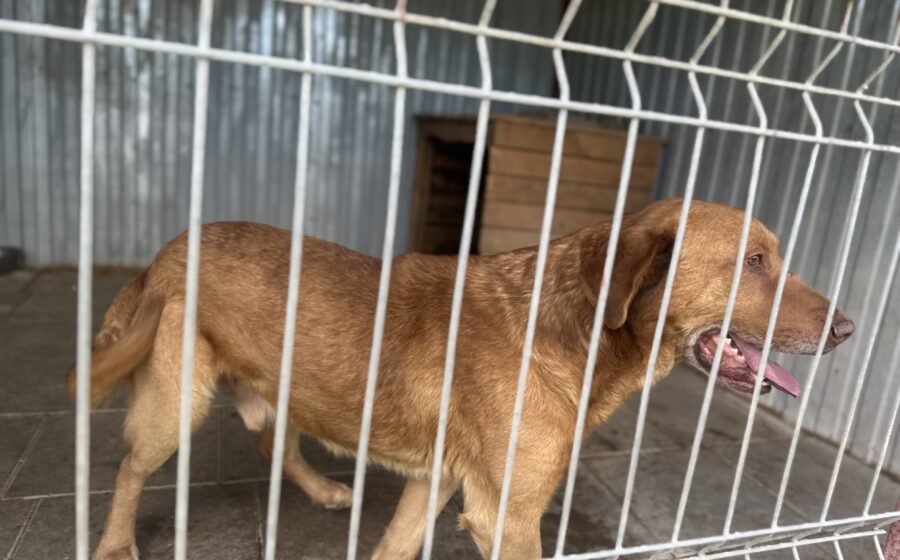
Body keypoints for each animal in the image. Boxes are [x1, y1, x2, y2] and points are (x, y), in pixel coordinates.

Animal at [68, 198, 854, 559]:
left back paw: (322, 488)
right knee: (130, 465)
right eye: (754, 261)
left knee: (273, 442)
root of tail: (166, 250)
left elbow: (393, 545)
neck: (567, 330)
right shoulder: (507, 517)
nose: (849, 329)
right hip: (176, 403)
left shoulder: (438, 481)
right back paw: (113, 543)